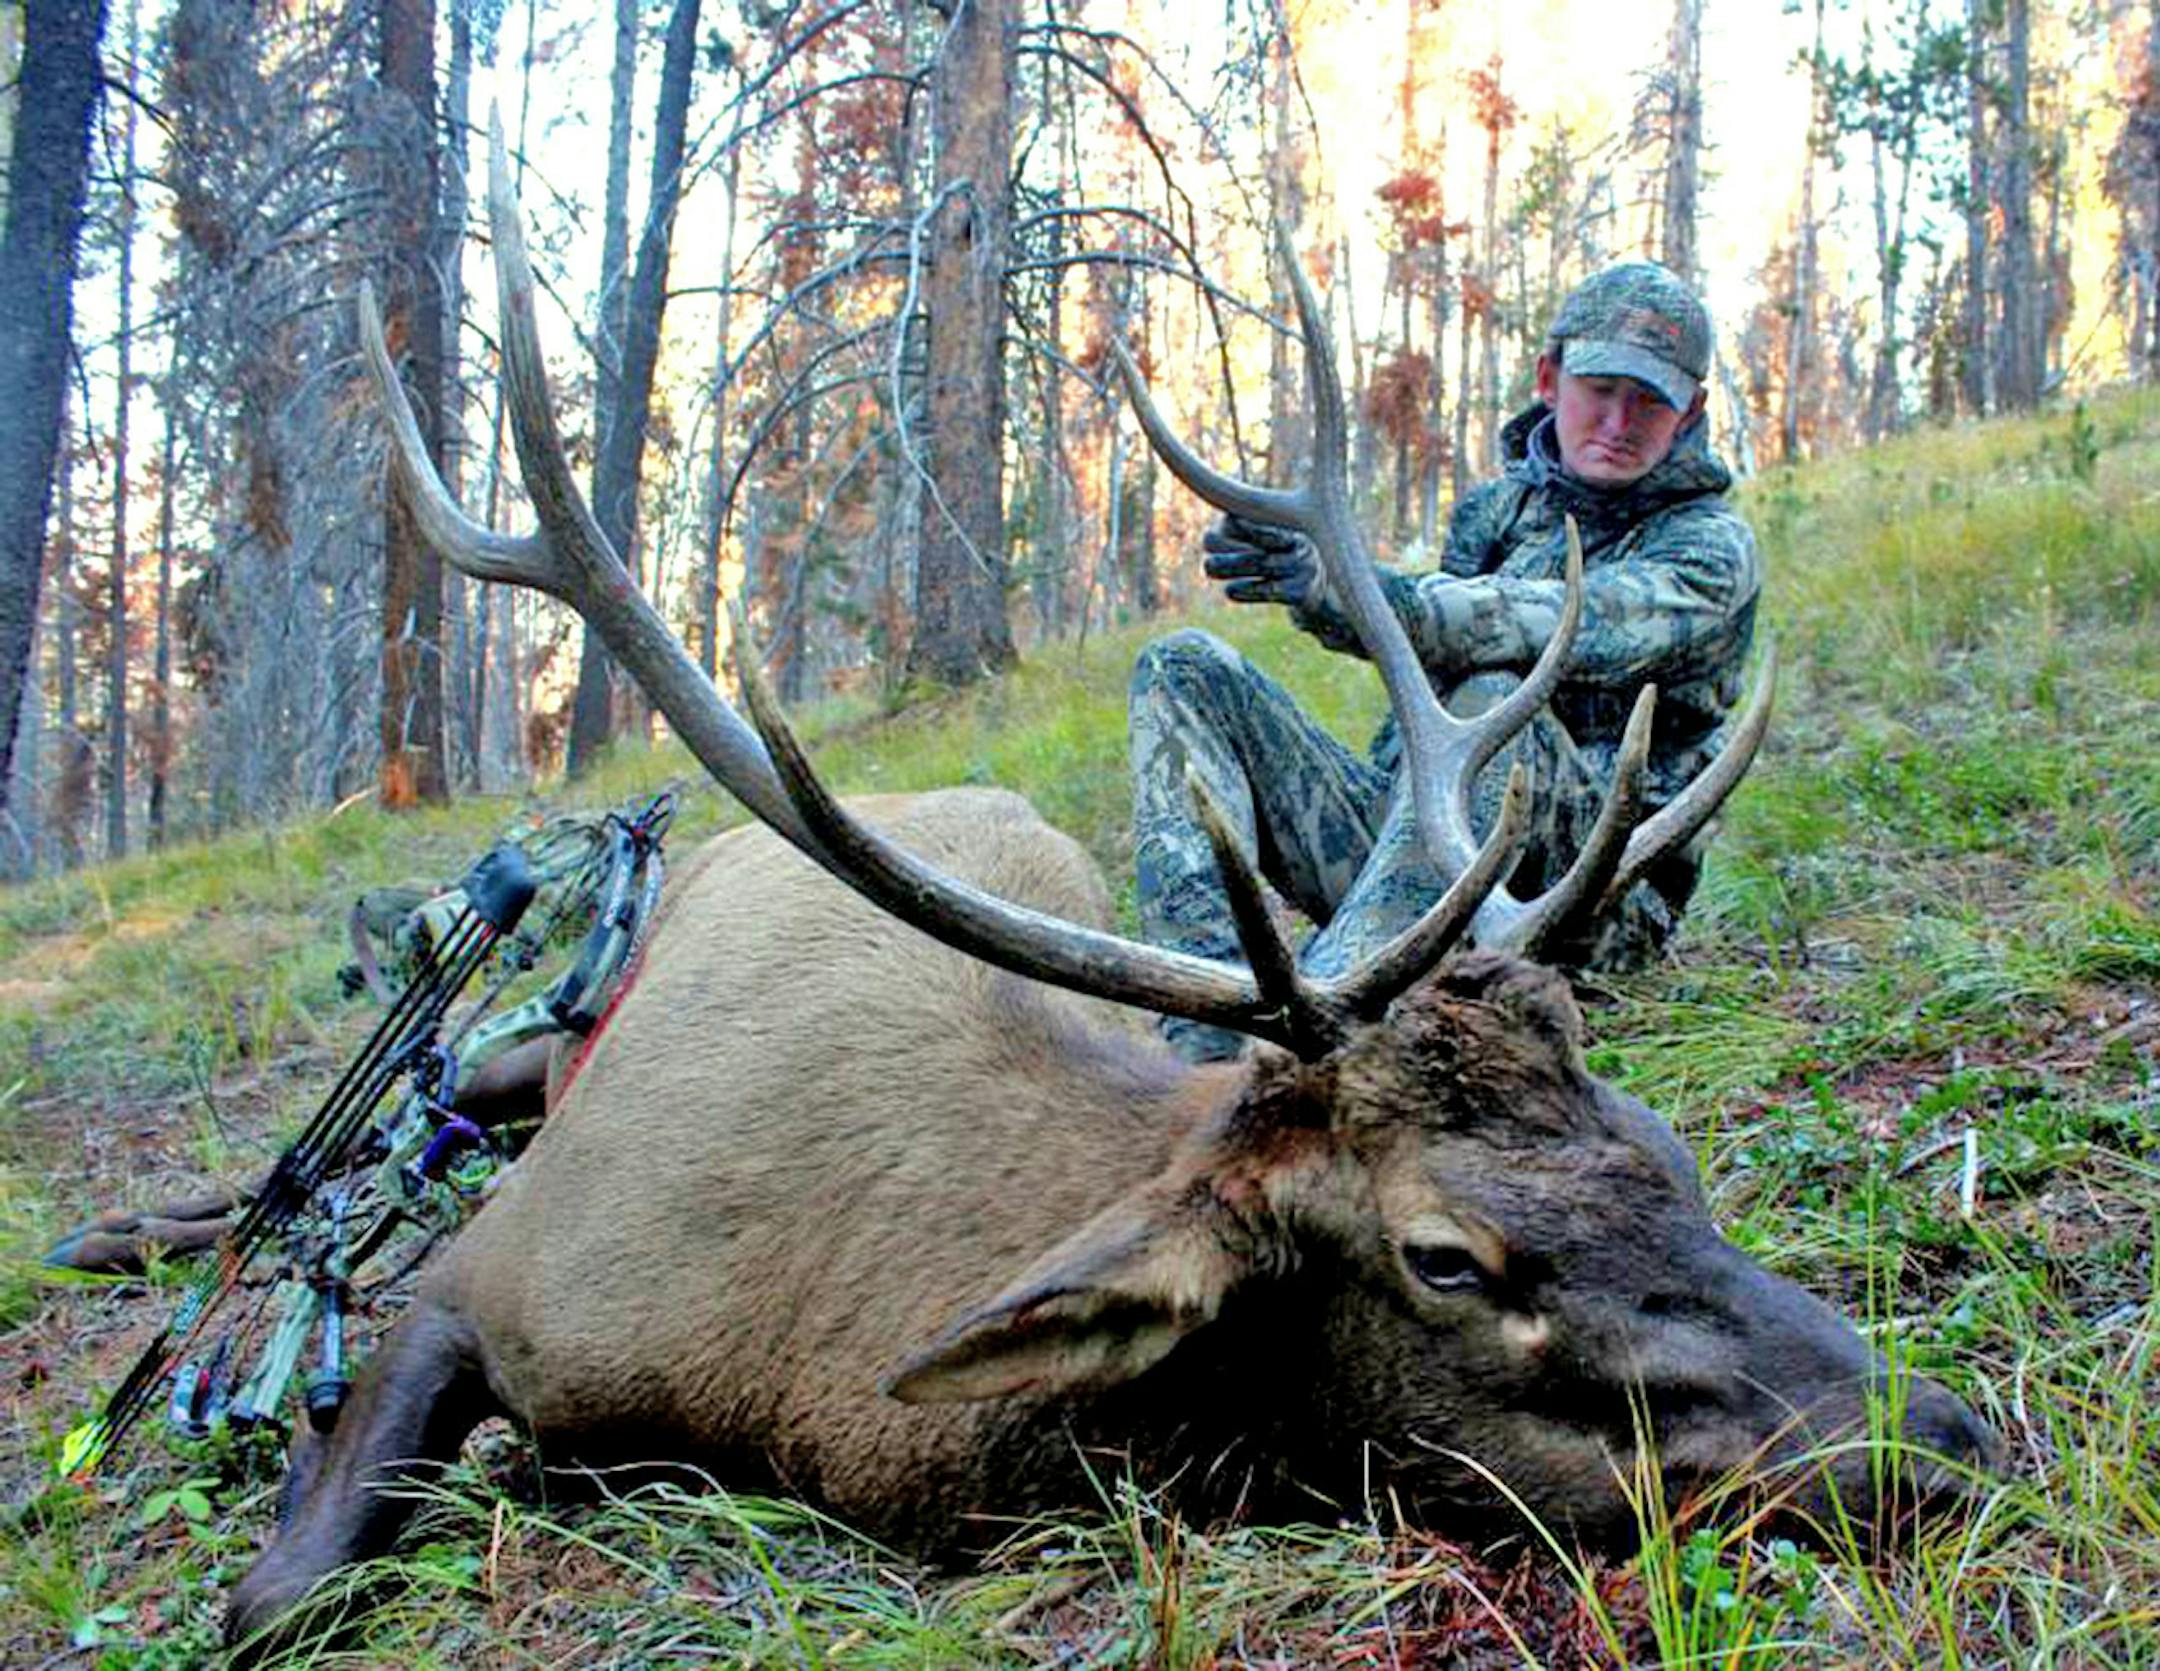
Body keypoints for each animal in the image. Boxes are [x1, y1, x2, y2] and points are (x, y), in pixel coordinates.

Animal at [223, 123, 1995, 1652]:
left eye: (1664, 1150)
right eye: (1446, 1256)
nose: (1945, 1426)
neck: (801, 1377)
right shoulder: (495, 1273)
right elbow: (277, 1594)